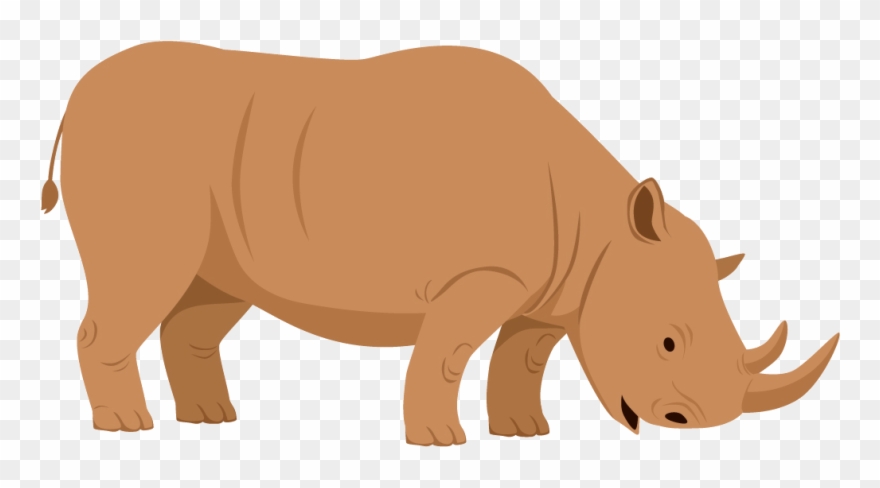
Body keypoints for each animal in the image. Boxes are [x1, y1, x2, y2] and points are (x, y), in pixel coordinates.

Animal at [40, 41, 839, 445]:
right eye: (668, 342)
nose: (697, 424)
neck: (608, 229)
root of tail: (74, 95)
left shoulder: (551, 292)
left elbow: (524, 357)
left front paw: (524, 435)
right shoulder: (481, 278)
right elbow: (451, 354)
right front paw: (442, 442)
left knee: (209, 295)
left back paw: (212, 422)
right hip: (144, 160)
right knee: (145, 278)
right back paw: (126, 428)